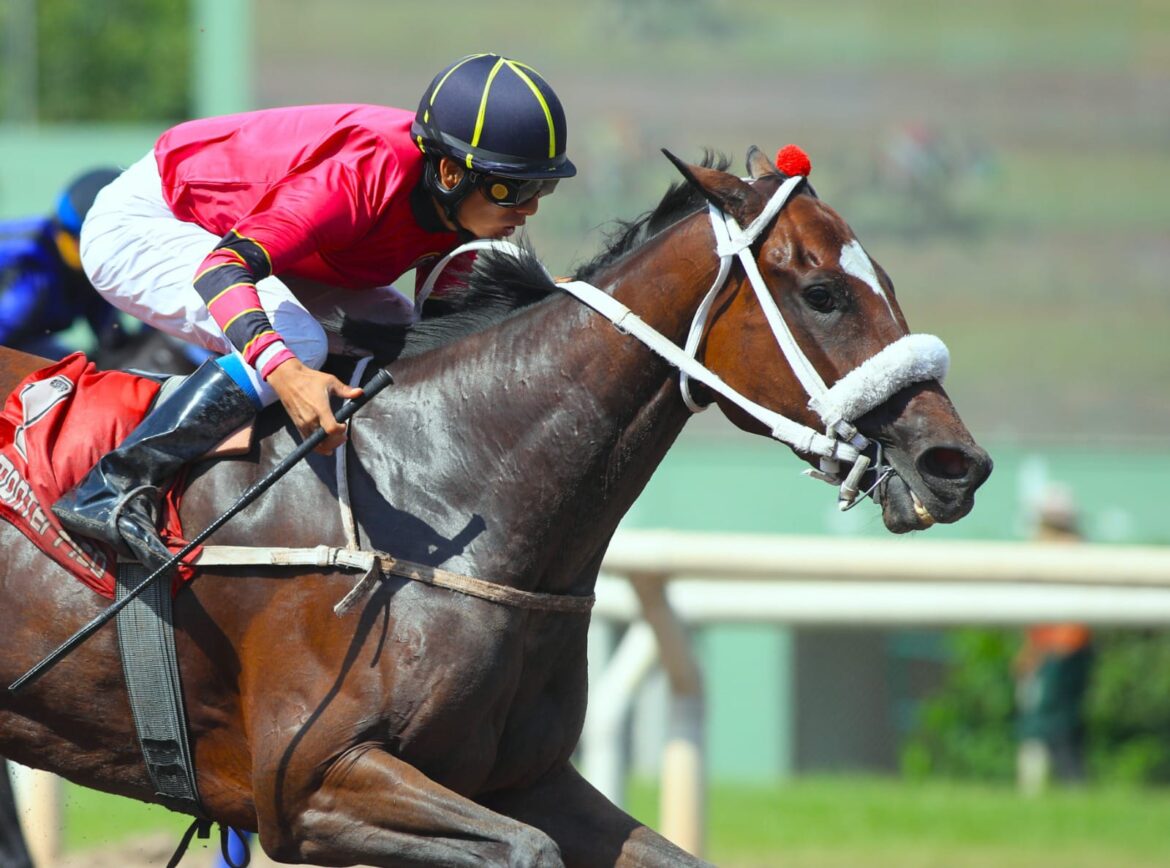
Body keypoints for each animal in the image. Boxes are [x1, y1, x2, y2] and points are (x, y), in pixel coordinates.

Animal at [0, 146, 987, 865]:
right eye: (822, 292)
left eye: (886, 279)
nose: (958, 464)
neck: (445, 493)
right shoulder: (312, 780)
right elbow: (525, 851)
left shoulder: (522, 776)